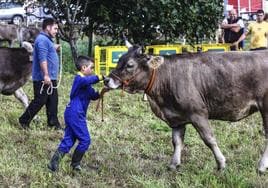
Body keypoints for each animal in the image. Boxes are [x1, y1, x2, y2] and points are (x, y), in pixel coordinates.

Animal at [105, 42, 268, 173]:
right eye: (120, 59)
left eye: (130, 65)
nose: (106, 79)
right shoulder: (176, 118)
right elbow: (177, 141)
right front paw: (173, 164)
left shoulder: (198, 114)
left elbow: (209, 139)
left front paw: (221, 164)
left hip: (265, 107)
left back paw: (261, 167)